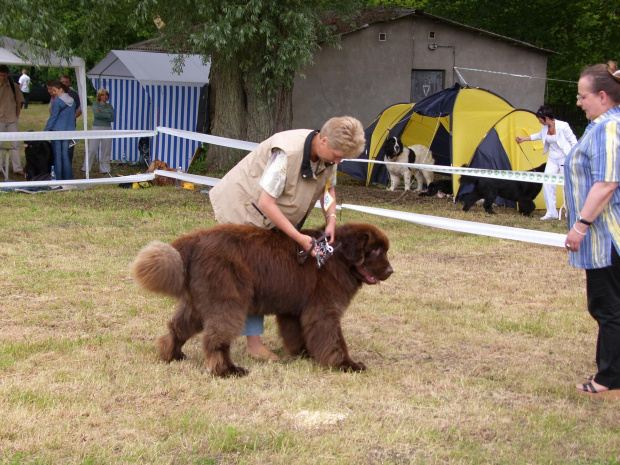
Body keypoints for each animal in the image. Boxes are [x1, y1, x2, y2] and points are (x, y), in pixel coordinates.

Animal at [131, 222, 392, 376]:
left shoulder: (296, 310)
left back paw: (172, 354)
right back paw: (226, 370)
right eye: (375, 251)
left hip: (198, 302)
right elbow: (334, 340)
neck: (335, 257)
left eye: (385, 250)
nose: (390, 271)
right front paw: (346, 365)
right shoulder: (324, 309)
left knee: (177, 327)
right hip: (228, 300)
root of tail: (193, 240)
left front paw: (305, 354)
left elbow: (298, 334)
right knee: (215, 338)